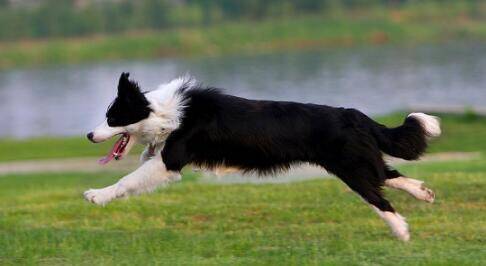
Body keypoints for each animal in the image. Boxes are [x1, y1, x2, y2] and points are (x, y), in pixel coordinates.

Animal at [84, 72, 440, 241]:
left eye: (112, 118)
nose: (88, 135)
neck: (162, 112)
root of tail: (355, 114)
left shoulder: (170, 160)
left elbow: (127, 180)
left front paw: (97, 195)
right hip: (359, 162)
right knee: (389, 175)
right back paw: (423, 193)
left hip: (351, 168)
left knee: (380, 198)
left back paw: (401, 231)